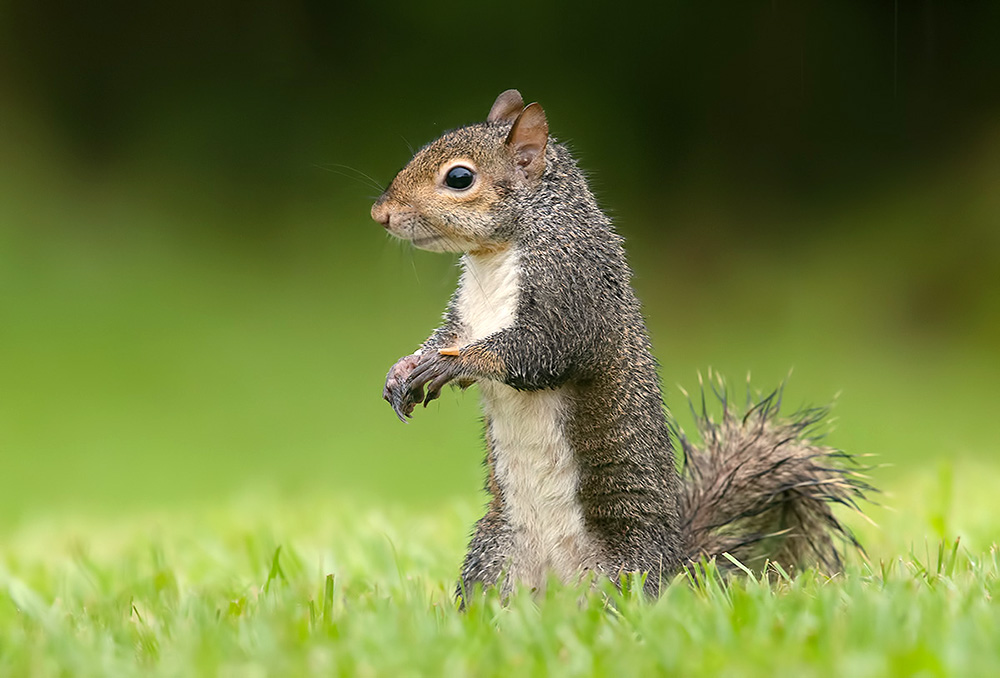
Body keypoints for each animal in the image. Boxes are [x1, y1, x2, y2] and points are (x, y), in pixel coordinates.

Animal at [371, 90, 870, 600]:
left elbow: (535, 352)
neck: (495, 257)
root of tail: (676, 566)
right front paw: (404, 368)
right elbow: (446, 337)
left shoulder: (572, 292)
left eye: (459, 178)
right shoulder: (465, 315)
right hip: (493, 561)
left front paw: (454, 365)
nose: (380, 214)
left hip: (624, 570)